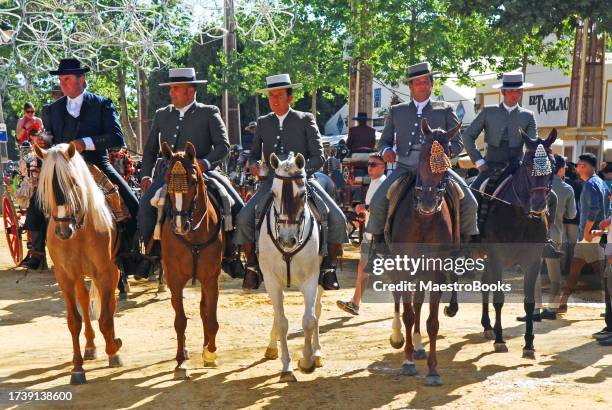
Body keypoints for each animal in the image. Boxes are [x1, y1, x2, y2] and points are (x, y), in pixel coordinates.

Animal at [35, 143, 123, 384]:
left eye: (73, 182)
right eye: (46, 185)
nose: (63, 231)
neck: (80, 230)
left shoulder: (105, 271)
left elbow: (105, 317)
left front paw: (113, 350)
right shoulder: (65, 276)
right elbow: (74, 320)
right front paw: (77, 368)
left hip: (111, 271)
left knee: (110, 303)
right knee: (84, 300)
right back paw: (90, 346)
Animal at [158, 143, 225, 380]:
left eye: (194, 181)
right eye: (167, 179)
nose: (179, 225)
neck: (193, 235)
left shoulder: (211, 278)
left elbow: (211, 318)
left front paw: (210, 353)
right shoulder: (174, 279)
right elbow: (180, 321)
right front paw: (180, 362)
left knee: (205, 310)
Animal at [260, 152, 326, 382]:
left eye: (303, 194)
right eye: (273, 193)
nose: (287, 240)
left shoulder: (311, 279)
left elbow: (309, 320)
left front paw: (307, 361)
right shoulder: (271, 280)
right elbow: (281, 321)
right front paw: (286, 367)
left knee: (317, 310)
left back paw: (317, 353)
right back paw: (271, 348)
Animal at [388, 119, 460, 388]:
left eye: (447, 155)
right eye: (421, 156)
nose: (428, 203)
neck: (423, 221)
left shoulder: (436, 272)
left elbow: (431, 321)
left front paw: (433, 370)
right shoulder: (403, 267)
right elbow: (408, 314)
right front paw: (407, 361)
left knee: (418, 302)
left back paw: (418, 346)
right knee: (400, 300)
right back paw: (399, 337)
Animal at [474, 129, 560, 358]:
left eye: (553, 164)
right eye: (528, 164)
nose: (539, 204)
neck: (521, 214)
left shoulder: (533, 260)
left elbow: (529, 302)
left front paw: (529, 344)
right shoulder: (496, 257)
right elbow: (499, 298)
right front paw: (500, 339)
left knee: (484, 283)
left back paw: (487, 325)